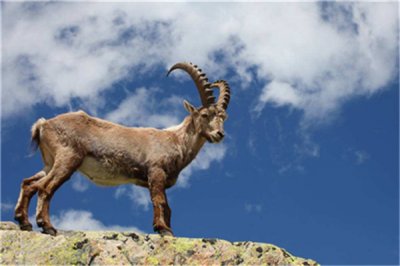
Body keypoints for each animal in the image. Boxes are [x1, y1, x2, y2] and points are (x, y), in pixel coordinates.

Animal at [14, 61, 230, 235]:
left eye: (223, 117)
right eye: (205, 115)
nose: (219, 134)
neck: (176, 140)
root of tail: (43, 124)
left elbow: (167, 207)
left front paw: (168, 230)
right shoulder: (156, 172)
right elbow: (159, 201)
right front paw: (162, 229)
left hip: (50, 162)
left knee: (29, 183)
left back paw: (24, 222)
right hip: (68, 158)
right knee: (45, 187)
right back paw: (47, 226)